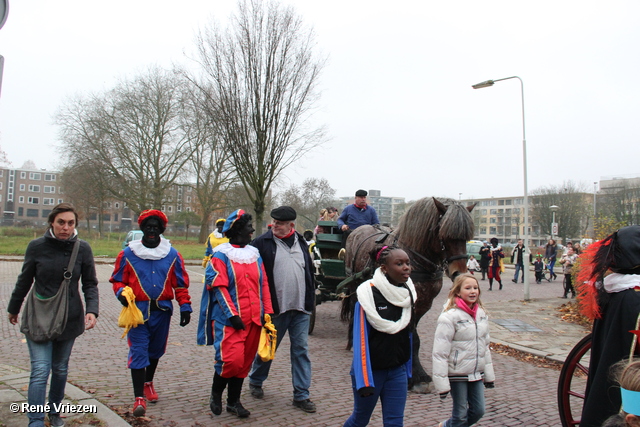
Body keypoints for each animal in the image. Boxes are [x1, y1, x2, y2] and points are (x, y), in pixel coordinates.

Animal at [340, 197, 476, 394]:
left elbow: (412, 337)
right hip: (353, 284)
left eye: (466, 237)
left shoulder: (423, 304)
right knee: (353, 308)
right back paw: (352, 342)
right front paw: (417, 377)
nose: (459, 273)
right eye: (444, 234)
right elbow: (414, 337)